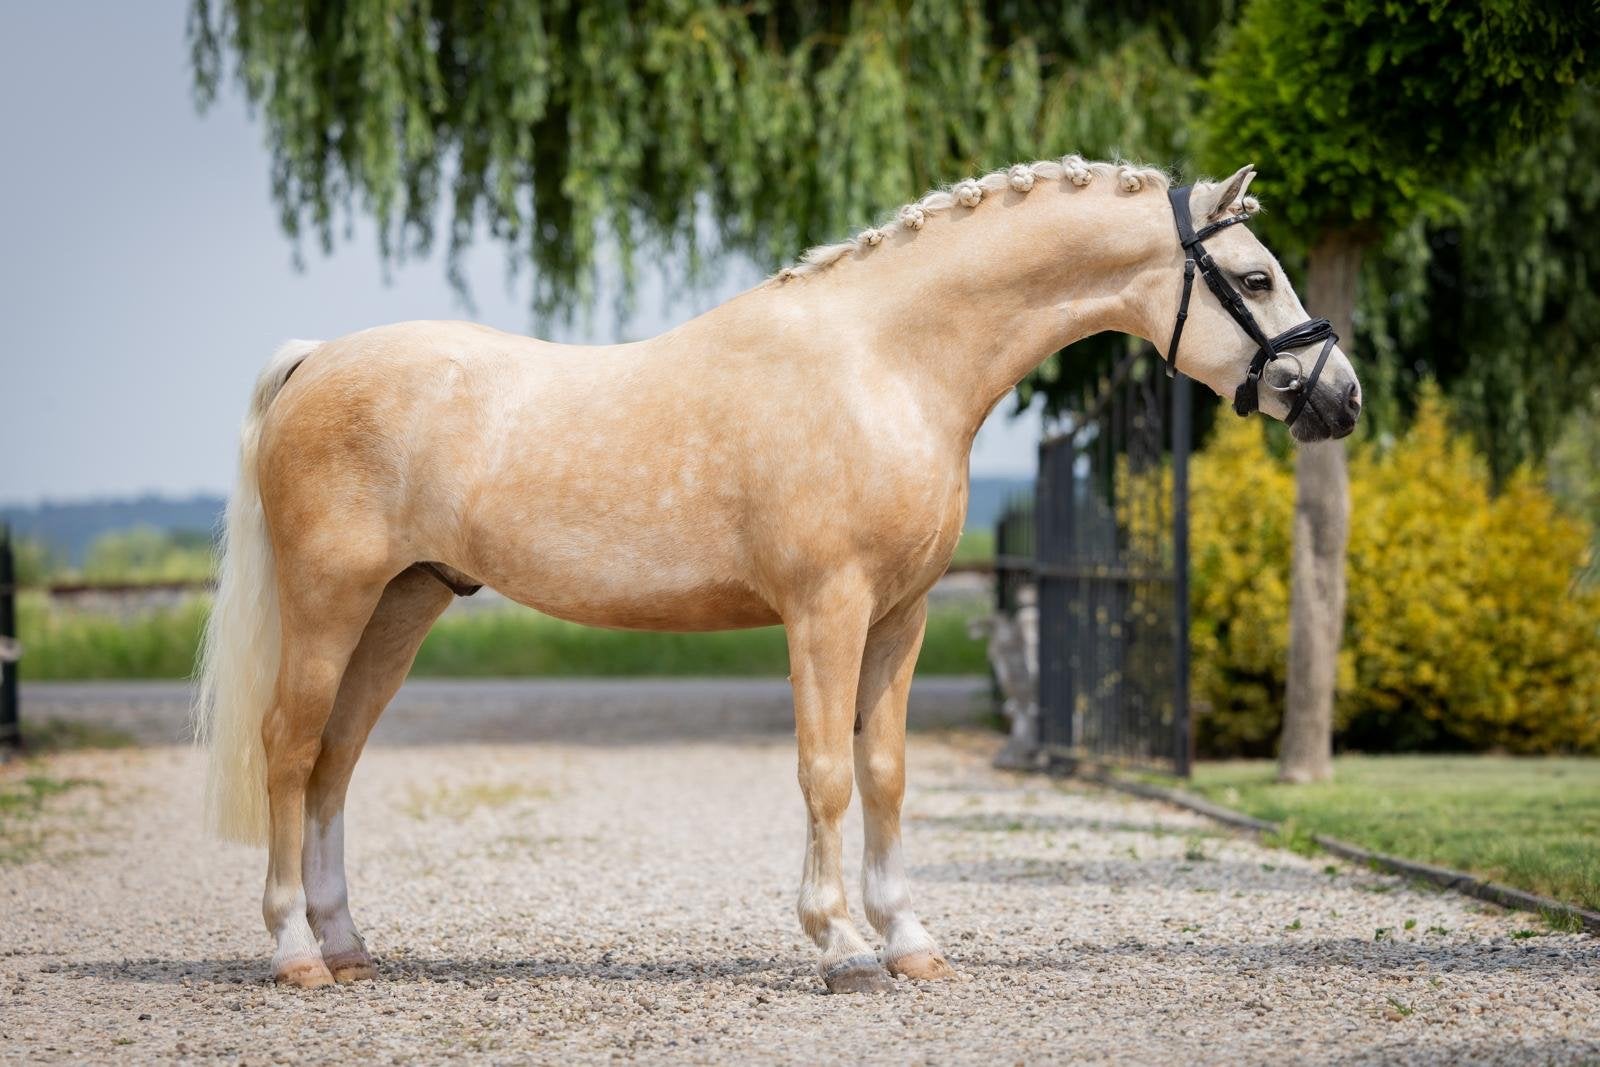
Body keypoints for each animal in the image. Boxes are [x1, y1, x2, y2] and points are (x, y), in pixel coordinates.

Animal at [193, 156, 1361, 994]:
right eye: (1254, 277)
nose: (1339, 396)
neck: (887, 362)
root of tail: (318, 358)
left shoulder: (900, 616)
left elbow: (885, 770)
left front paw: (910, 940)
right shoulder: (824, 608)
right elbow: (825, 772)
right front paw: (839, 945)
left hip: (404, 603)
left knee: (336, 759)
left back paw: (348, 945)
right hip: (332, 600)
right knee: (291, 749)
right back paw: (295, 952)